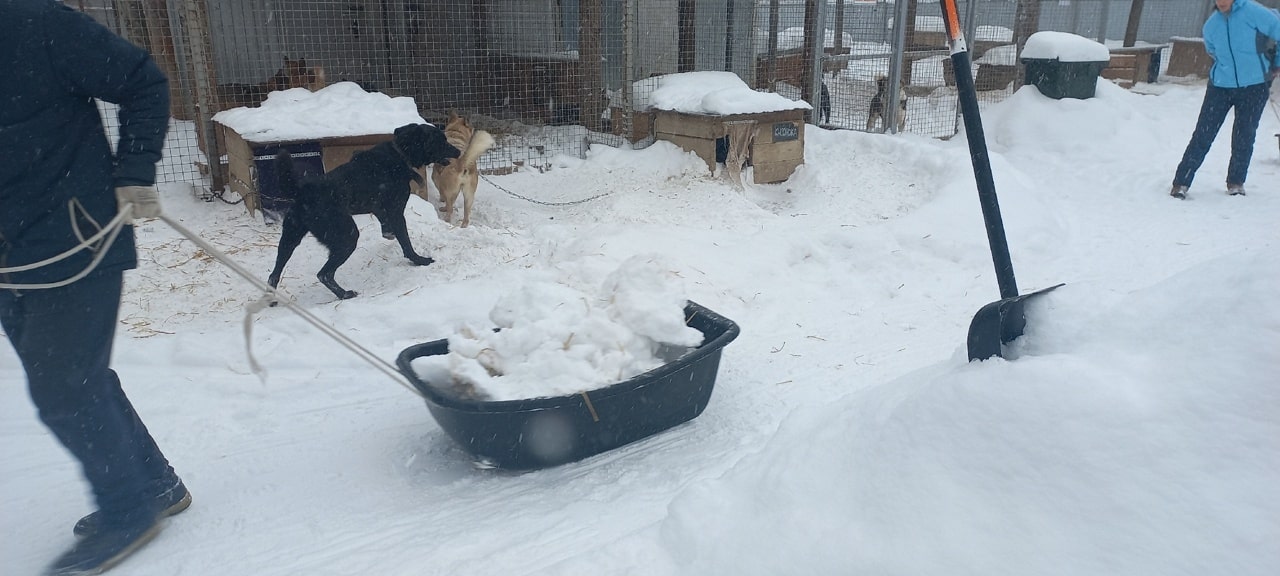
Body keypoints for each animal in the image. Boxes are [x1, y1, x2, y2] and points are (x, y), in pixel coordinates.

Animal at [267, 122, 463, 299]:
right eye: (440, 140)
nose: (458, 152)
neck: (400, 154)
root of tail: (303, 192)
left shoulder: (377, 206)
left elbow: (385, 221)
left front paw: (388, 233)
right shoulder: (396, 211)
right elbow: (406, 242)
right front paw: (419, 260)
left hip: (289, 239)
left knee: (274, 274)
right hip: (347, 236)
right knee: (324, 274)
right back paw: (344, 294)